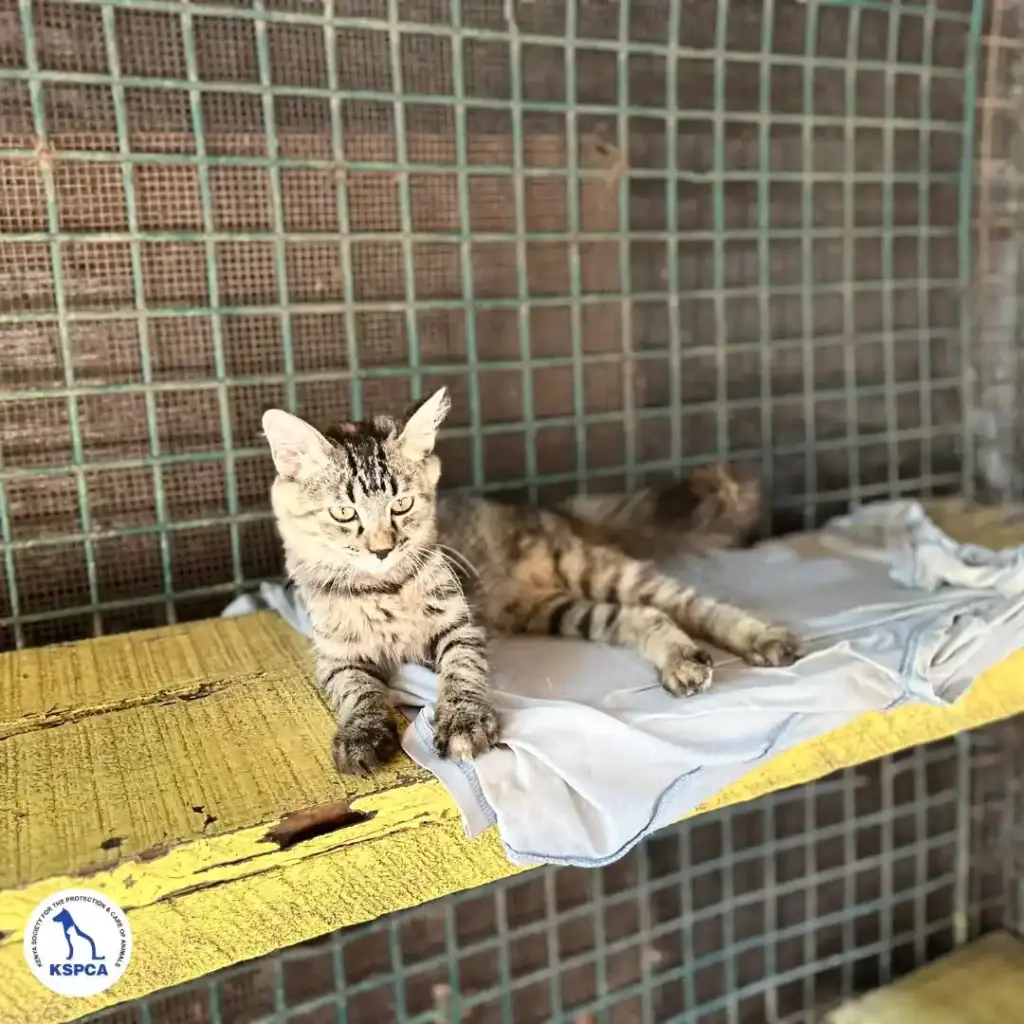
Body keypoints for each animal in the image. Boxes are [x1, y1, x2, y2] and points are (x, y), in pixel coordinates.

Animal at [262, 387, 801, 776]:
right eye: (344, 513)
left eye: (402, 505)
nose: (381, 549)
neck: (383, 590)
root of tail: (546, 511)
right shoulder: (335, 656)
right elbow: (357, 691)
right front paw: (362, 736)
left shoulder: (460, 628)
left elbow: (461, 674)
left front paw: (462, 722)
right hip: (560, 610)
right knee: (642, 616)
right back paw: (682, 661)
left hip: (592, 569)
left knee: (684, 603)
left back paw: (761, 639)